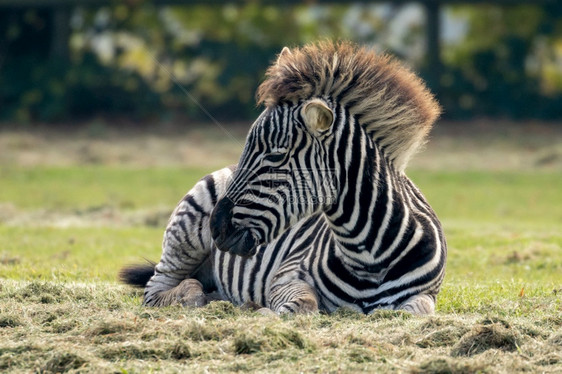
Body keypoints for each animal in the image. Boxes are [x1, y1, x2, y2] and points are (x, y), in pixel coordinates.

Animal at [119, 41, 446, 316]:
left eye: (275, 157)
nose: (216, 227)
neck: (369, 258)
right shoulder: (286, 275)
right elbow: (303, 304)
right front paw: (263, 312)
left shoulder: (426, 295)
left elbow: (412, 312)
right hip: (183, 238)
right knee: (161, 289)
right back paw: (196, 295)